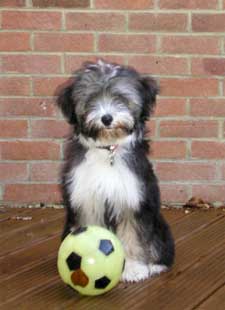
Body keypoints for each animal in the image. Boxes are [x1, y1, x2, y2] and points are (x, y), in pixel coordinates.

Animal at [57, 59, 175, 282]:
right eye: (91, 99)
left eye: (120, 97)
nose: (106, 118)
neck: (108, 151)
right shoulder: (87, 201)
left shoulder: (131, 201)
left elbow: (132, 237)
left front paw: (133, 268)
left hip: (158, 225)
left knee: (157, 246)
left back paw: (155, 265)